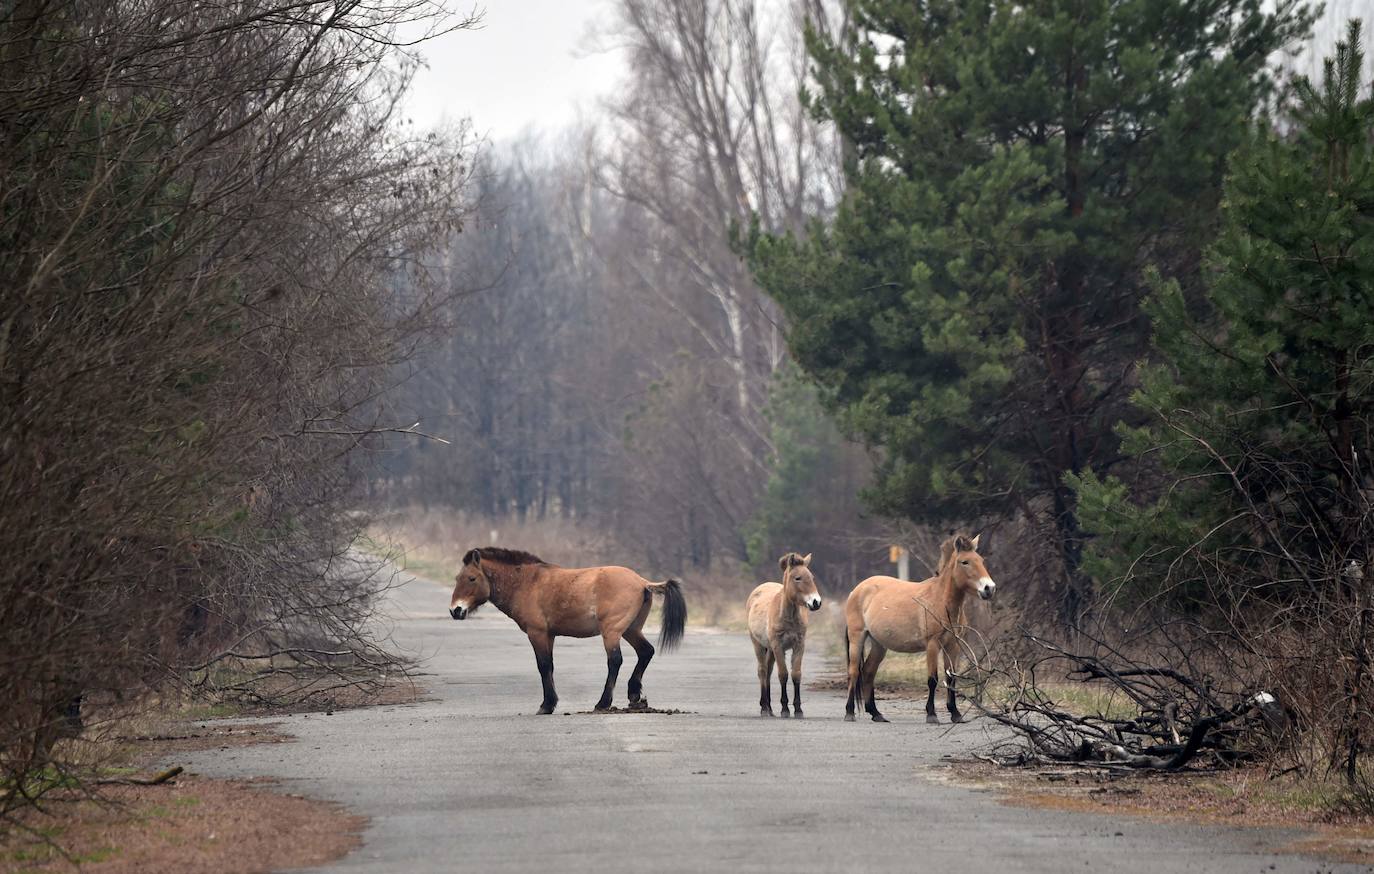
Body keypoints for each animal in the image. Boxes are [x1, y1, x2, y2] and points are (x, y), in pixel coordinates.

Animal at [450, 549, 687, 714]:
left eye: (471, 578)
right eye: (457, 579)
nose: (455, 610)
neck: (527, 583)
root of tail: (642, 582)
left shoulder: (537, 634)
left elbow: (543, 666)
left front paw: (546, 705)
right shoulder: (550, 635)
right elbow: (550, 666)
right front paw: (550, 702)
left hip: (612, 632)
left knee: (615, 661)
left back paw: (603, 703)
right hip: (631, 630)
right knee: (646, 652)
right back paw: (634, 694)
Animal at [747, 552, 818, 714]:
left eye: (812, 577)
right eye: (797, 578)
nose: (816, 602)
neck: (788, 616)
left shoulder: (799, 645)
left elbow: (796, 674)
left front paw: (798, 709)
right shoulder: (778, 646)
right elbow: (783, 674)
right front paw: (785, 708)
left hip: (770, 650)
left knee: (768, 671)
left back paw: (769, 707)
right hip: (758, 645)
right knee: (762, 671)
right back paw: (764, 708)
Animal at [840, 533, 994, 725]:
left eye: (981, 560)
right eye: (964, 562)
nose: (989, 588)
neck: (940, 600)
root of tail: (857, 590)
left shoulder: (953, 645)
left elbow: (951, 678)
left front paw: (955, 714)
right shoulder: (932, 644)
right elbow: (933, 679)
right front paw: (932, 715)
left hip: (879, 644)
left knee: (868, 672)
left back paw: (876, 713)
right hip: (857, 638)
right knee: (854, 672)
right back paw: (849, 712)